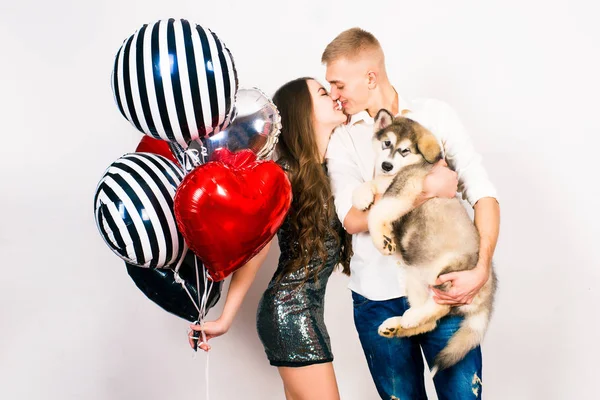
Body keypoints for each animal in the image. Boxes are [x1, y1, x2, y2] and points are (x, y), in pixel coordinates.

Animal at [352, 108, 496, 374]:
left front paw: (382, 240)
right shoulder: (390, 183)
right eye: (387, 143)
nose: (386, 165)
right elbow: (372, 185)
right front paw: (361, 196)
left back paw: (409, 318)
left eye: (404, 151)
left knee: (441, 306)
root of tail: (488, 297)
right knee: (429, 324)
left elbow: (378, 211)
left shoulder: (404, 187)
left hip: (451, 274)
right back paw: (398, 325)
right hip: (414, 279)